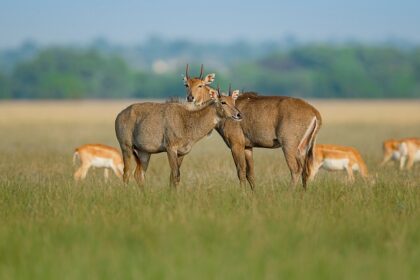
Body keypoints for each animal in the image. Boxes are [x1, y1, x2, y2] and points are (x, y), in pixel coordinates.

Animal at [183, 64, 322, 189]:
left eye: (200, 85)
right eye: (187, 85)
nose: (190, 98)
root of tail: (314, 112)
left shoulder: (236, 145)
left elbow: (241, 172)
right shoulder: (248, 147)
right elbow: (251, 174)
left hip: (289, 145)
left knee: (295, 169)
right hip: (303, 148)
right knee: (305, 171)